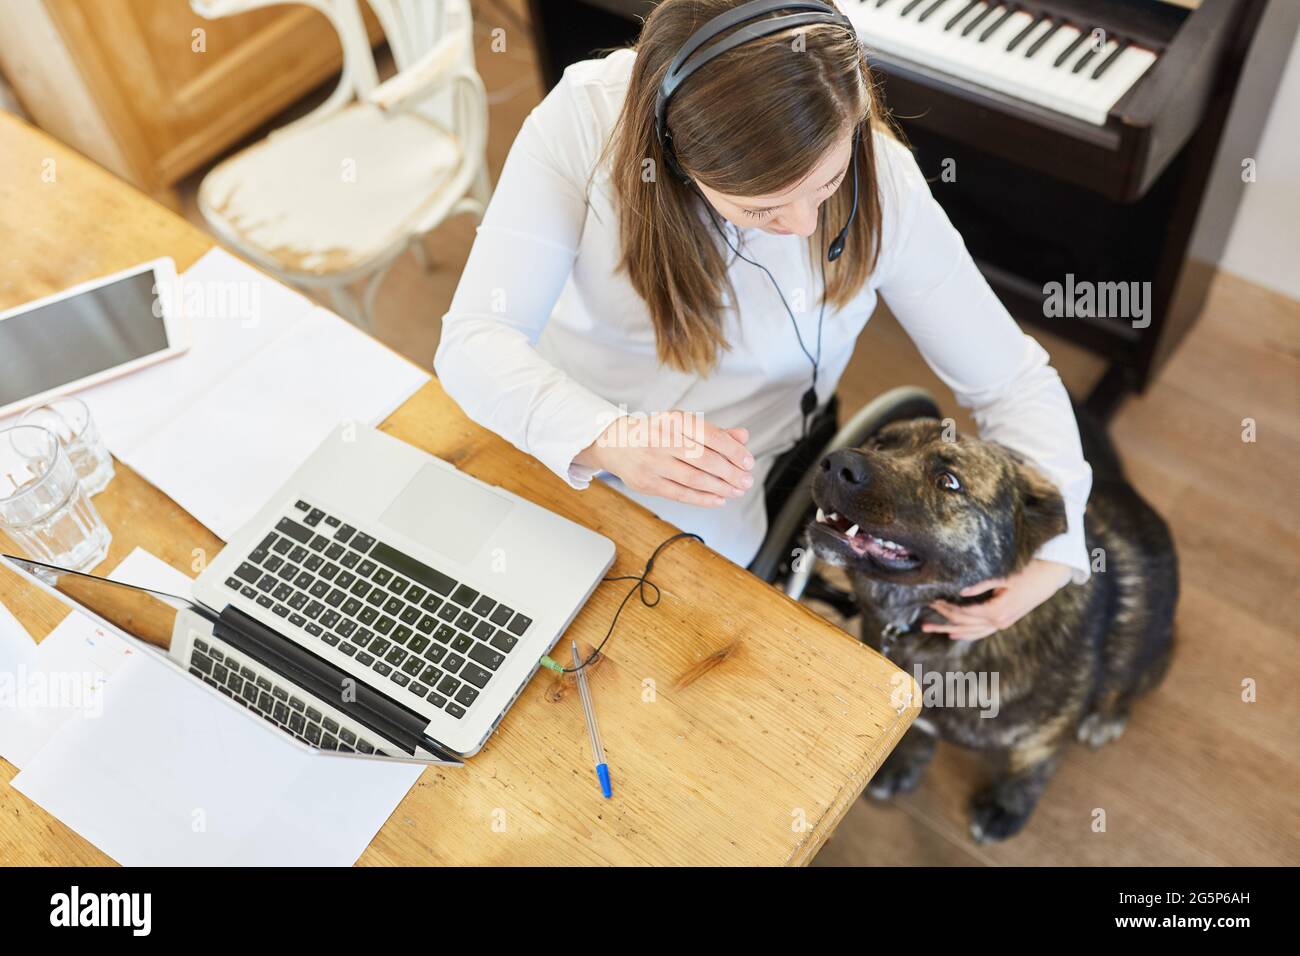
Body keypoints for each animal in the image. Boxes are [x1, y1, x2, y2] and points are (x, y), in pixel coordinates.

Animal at [806, 416, 1175, 842]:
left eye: (949, 481)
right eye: (881, 443)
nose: (836, 463)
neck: (930, 627)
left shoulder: (1044, 738)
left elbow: (1029, 770)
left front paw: (1006, 808)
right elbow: (917, 733)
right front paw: (902, 765)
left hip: (1146, 647)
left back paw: (1106, 717)